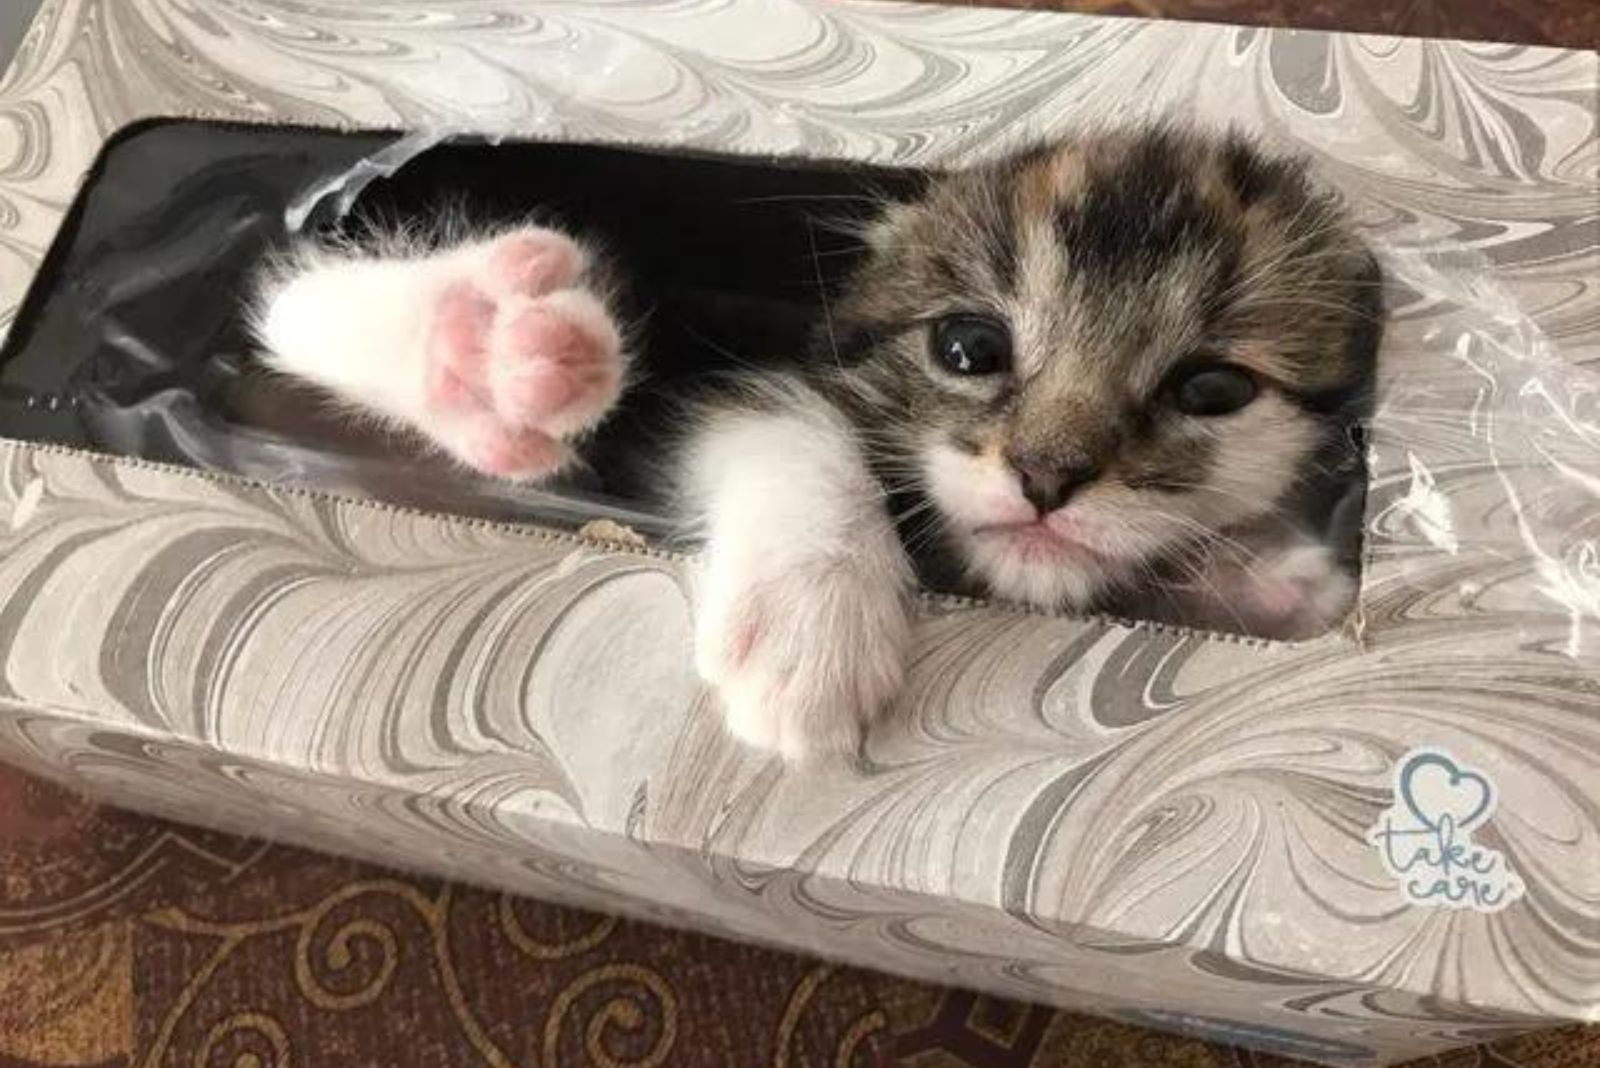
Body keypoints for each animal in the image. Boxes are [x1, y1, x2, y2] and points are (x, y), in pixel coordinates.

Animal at [249, 123, 1376, 757]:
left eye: (1213, 388)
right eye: (969, 346)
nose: (1046, 476)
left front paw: (1263, 578)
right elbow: (784, 412)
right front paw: (812, 626)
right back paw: (472, 340)